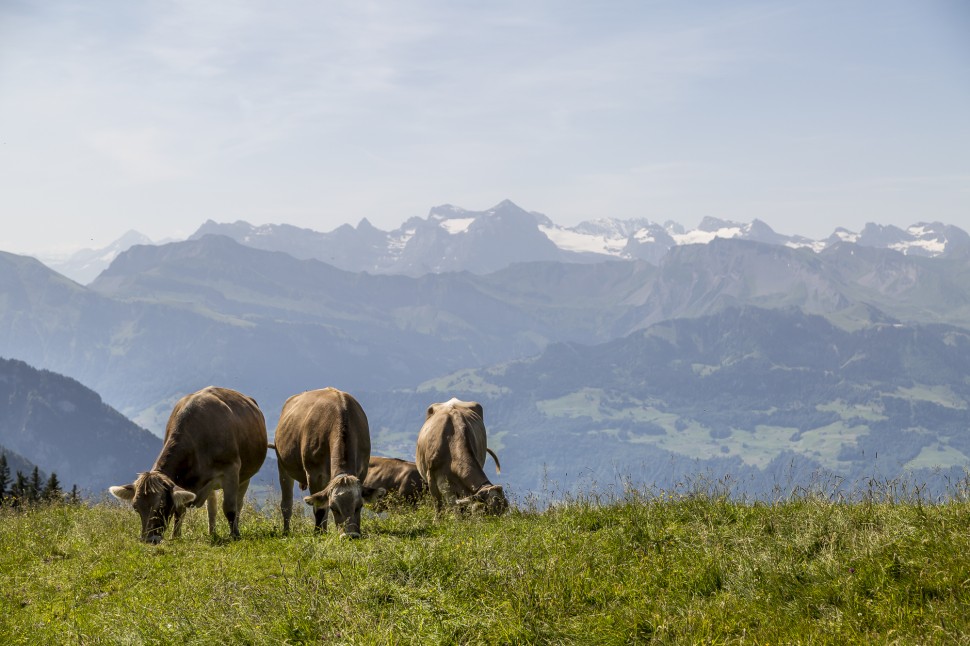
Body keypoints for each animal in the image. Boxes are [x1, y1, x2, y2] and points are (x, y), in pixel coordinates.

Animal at [109, 388, 266, 544]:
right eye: (135, 507)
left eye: (161, 506)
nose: (149, 540)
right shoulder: (181, 481)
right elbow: (180, 509)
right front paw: (176, 536)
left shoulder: (231, 470)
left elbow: (229, 508)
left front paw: (234, 536)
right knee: (212, 508)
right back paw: (212, 533)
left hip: (245, 476)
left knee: (238, 504)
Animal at [274, 390, 384, 536]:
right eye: (334, 508)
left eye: (359, 506)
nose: (350, 536)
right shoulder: (314, 474)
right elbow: (320, 508)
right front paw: (319, 533)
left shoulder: (362, 470)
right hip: (283, 465)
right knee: (287, 504)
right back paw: (286, 531)